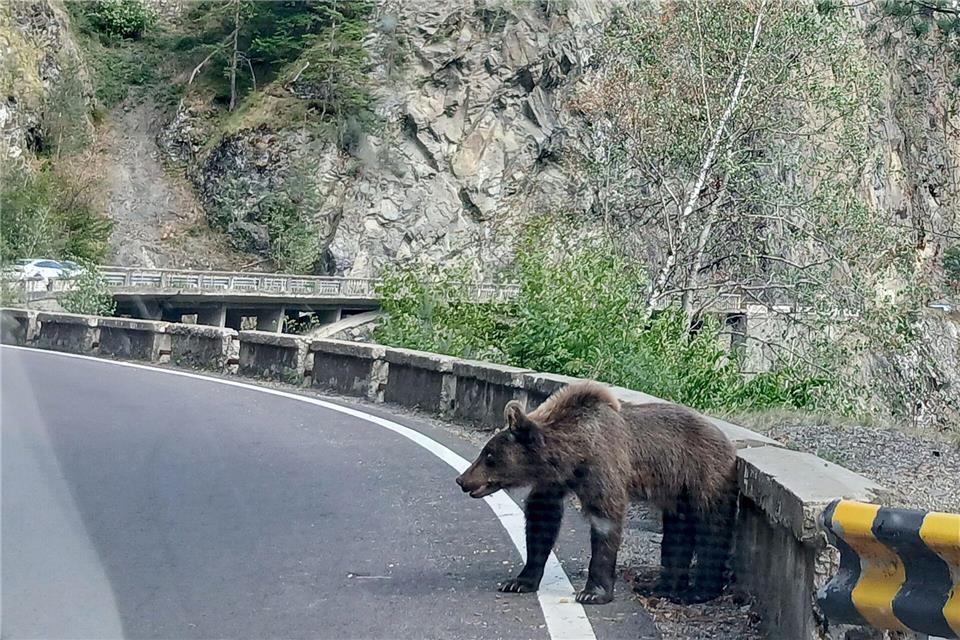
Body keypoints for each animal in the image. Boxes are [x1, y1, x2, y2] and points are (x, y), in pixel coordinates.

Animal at [455, 381, 737, 605]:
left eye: (488, 455)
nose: (462, 479)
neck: (574, 453)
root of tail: (728, 442)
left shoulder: (603, 467)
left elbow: (605, 520)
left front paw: (593, 592)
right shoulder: (557, 480)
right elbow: (541, 517)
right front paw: (519, 580)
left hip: (704, 474)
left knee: (711, 529)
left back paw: (698, 592)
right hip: (676, 493)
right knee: (677, 533)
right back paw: (662, 586)